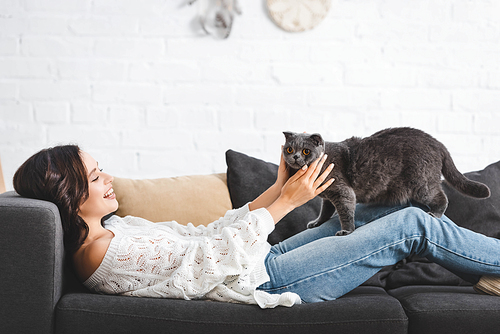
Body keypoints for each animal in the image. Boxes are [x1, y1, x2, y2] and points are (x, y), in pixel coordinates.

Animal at [284, 126, 490, 236]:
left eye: (306, 151)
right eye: (289, 149)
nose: (295, 157)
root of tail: (438, 144)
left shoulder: (342, 191)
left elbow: (345, 213)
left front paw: (347, 231)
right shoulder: (328, 196)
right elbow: (325, 211)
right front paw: (317, 223)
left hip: (421, 184)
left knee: (442, 197)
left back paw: (435, 213)